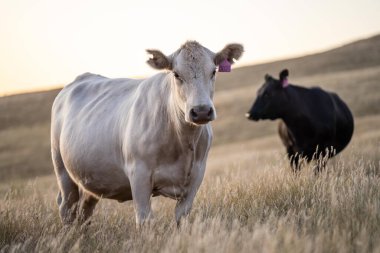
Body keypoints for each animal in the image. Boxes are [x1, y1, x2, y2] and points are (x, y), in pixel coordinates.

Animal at [51, 41, 243, 225]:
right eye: (176, 74)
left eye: (213, 71)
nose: (201, 111)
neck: (182, 141)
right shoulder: (139, 174)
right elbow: (144, 219)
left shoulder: (196, 175)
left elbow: (181, 217)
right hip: (63, 171)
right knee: (66, 207)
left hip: (90, 180)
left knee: (85, 211)